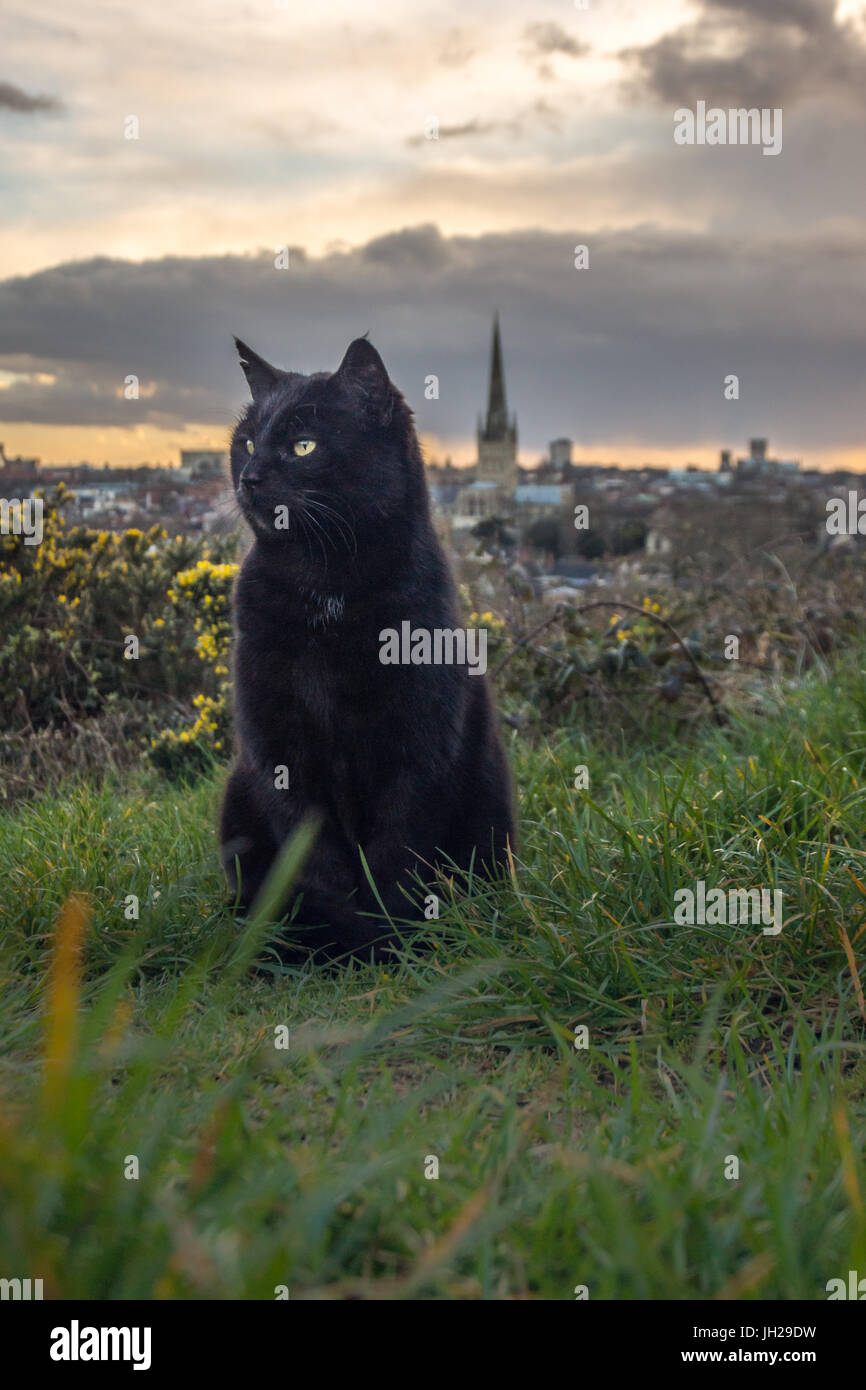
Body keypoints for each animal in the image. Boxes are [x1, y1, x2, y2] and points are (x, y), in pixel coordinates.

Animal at [219, 332, 514, 961]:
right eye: (247, 441)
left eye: (304, 446)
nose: (249, 476)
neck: (325, 581)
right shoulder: (278, 743)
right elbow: (312, 855)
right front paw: (328, 940)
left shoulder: (419, 744)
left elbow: (398, 851)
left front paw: (392, 941)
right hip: (238, 787)